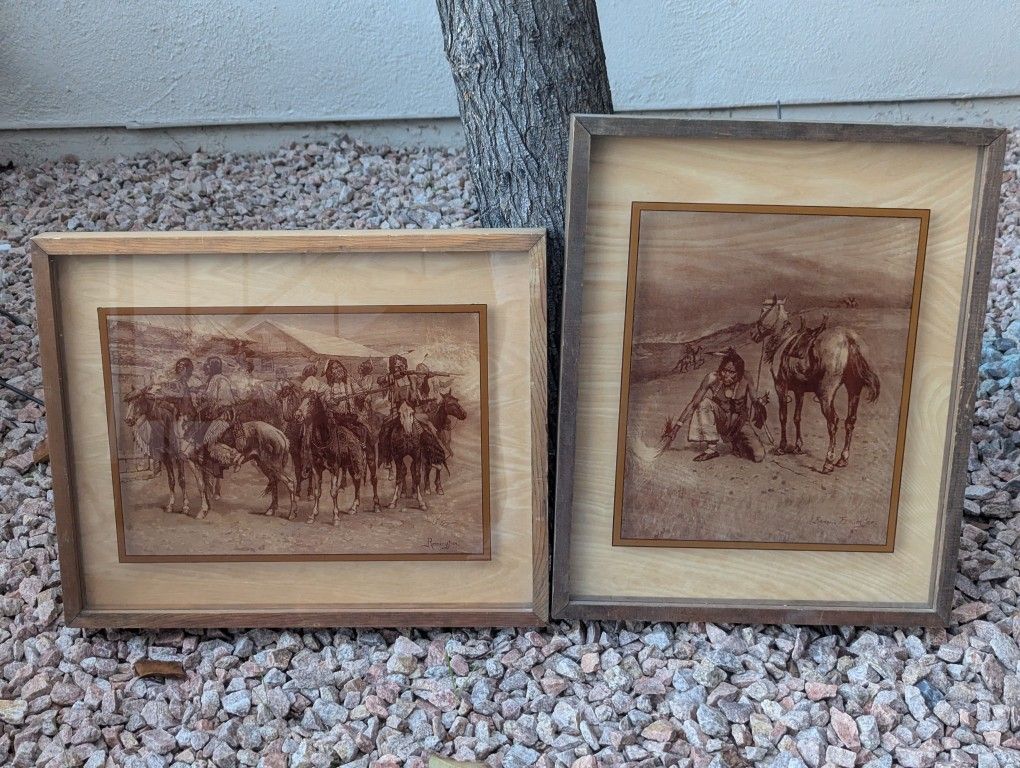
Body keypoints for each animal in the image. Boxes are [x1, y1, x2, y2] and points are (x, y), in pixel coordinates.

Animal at [294, 392, 368, 524]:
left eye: (311, 402)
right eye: (302, 399)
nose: (297, 415)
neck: (323, 439)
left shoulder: (334, 468)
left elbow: (333, 492)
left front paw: (336, 517)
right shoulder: (316, 469)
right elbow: (317, 492)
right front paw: (313, 515)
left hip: (355, 464)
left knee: (357, 480)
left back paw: (354, 507)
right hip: (350, 466)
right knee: (356, 482)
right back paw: (354, 507)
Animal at [751, 296, 880, 474]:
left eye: (764, 310)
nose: (753, 334)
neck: (784, 343)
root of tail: (849, 339)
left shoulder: (781, 388)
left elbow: (783, 417)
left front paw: (782, 447)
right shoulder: (799, 391)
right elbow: (796, 417)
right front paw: (798, 446)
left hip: (826, 394)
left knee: (833, 422)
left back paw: (828, 461)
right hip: (854, 389)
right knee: (850, 421)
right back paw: (842, 459)